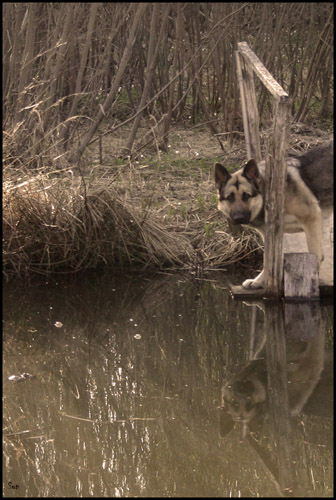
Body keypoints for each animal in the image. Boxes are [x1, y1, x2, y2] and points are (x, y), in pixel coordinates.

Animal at [217, 141, 332, 290]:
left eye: (246, 196)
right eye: (230, 197)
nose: (238, 218)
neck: (269, 193)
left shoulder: (312, 219)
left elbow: (316, 254)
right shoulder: (271, 236)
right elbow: (268, 260)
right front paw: (260, 281)